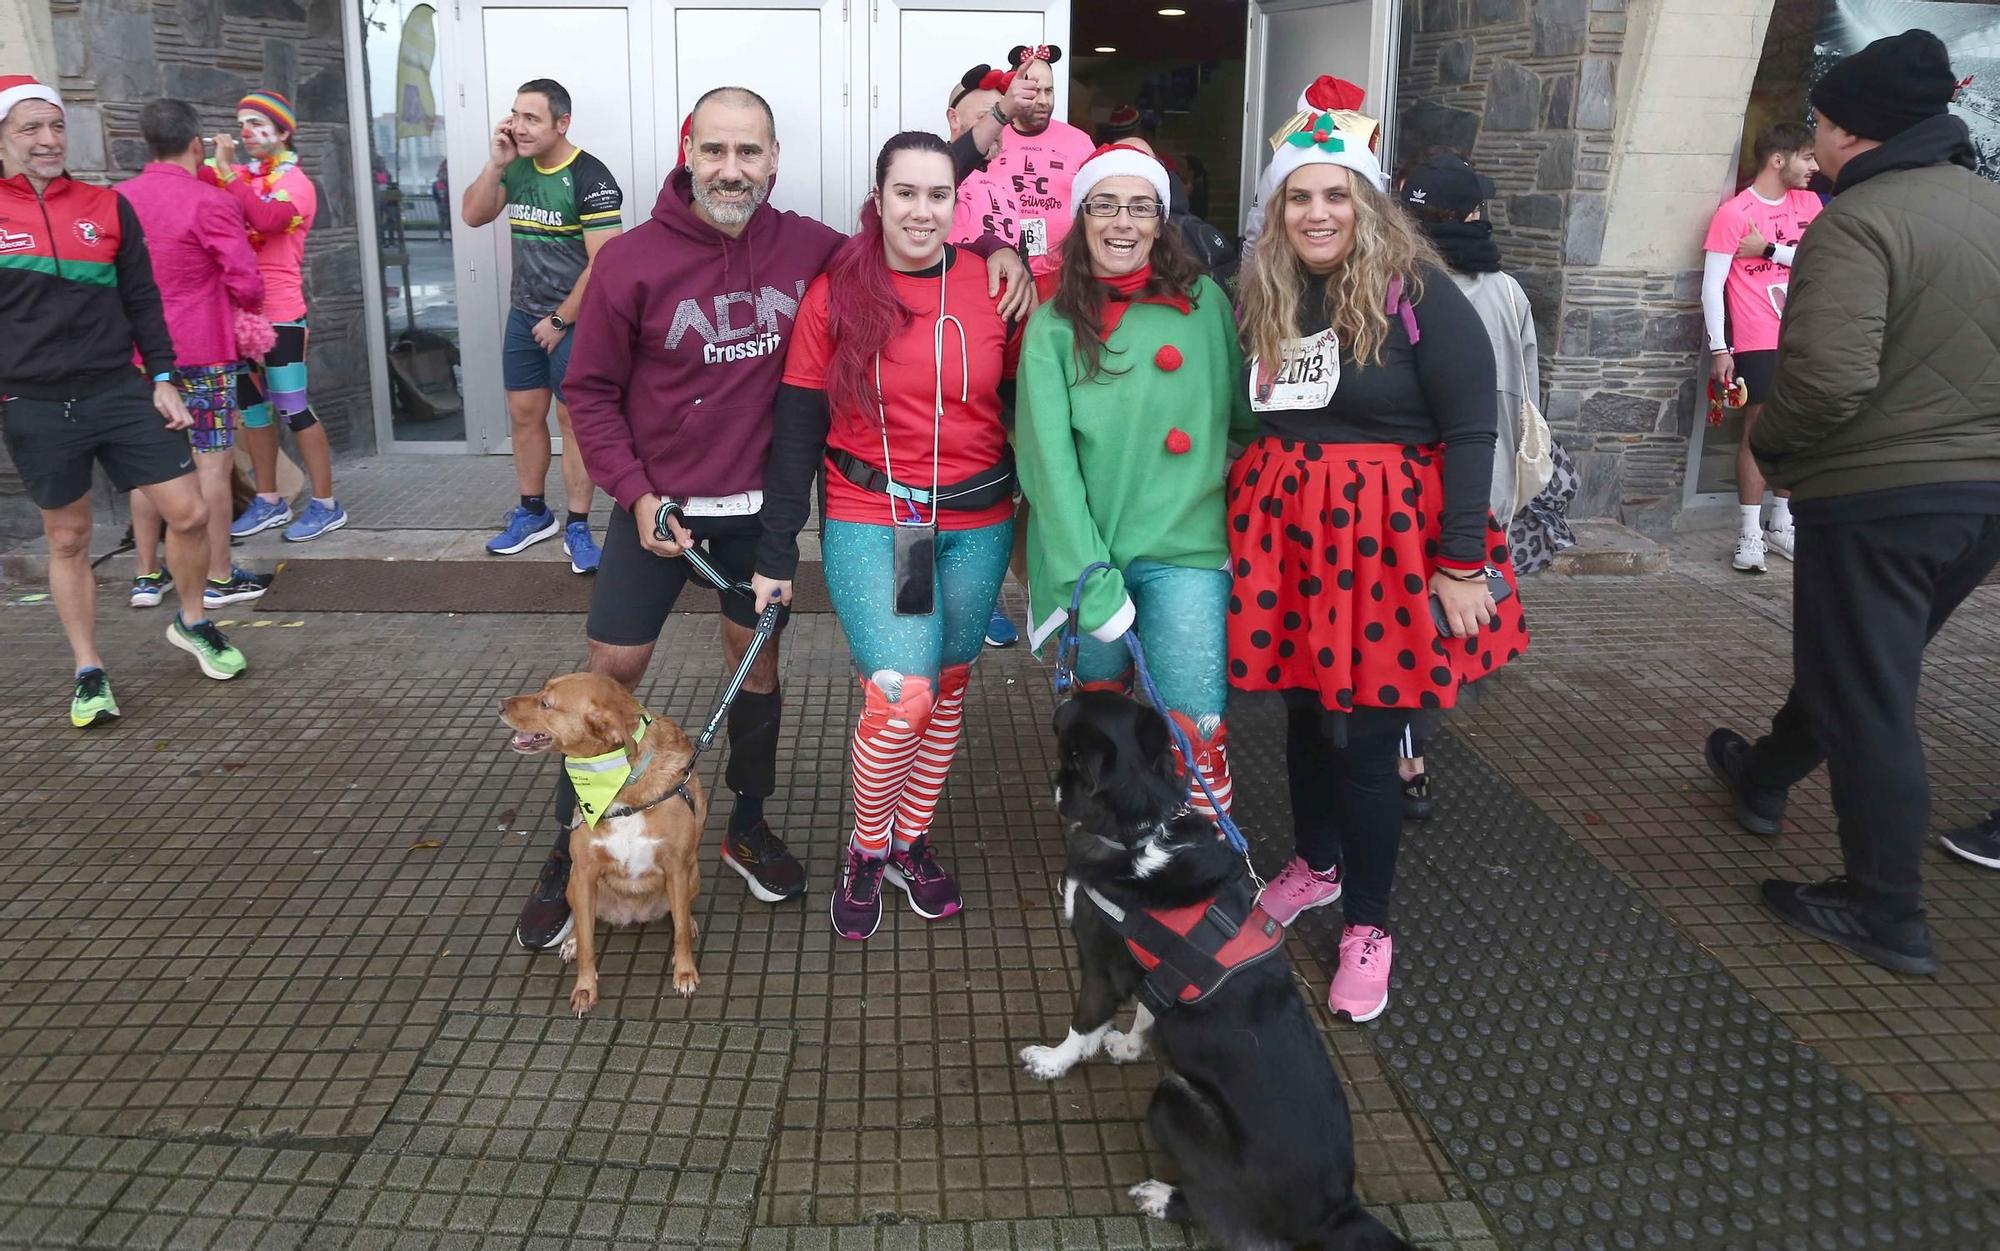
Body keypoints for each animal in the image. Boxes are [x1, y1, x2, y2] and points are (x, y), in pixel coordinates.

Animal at [498, 667, 704, 1007]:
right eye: (542, 689)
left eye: (546, 703)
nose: (500, 704)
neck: (620, 783)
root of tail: (632, 914)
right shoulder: (584, 872)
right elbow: (587, 945)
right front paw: (585, 988)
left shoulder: (677, 867)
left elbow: (680, 935)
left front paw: (685, 972)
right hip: (573, 885)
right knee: (583, 924)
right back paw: (569, 941)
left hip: (692, 876)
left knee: (681, 914)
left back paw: (689, 921)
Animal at [1024, 687, 1416, 1247]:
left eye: (1076, 714)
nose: (1065, 688)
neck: (1139, 829)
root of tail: (1337, 1211)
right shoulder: (1154, 973)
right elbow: (1147, 1010)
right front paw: (1128, 1047)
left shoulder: (1100, 964)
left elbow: (1083, 1026)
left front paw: (1051, 1062)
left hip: (1173, 1099)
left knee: (1217, 1208)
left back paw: (1162, 1197)